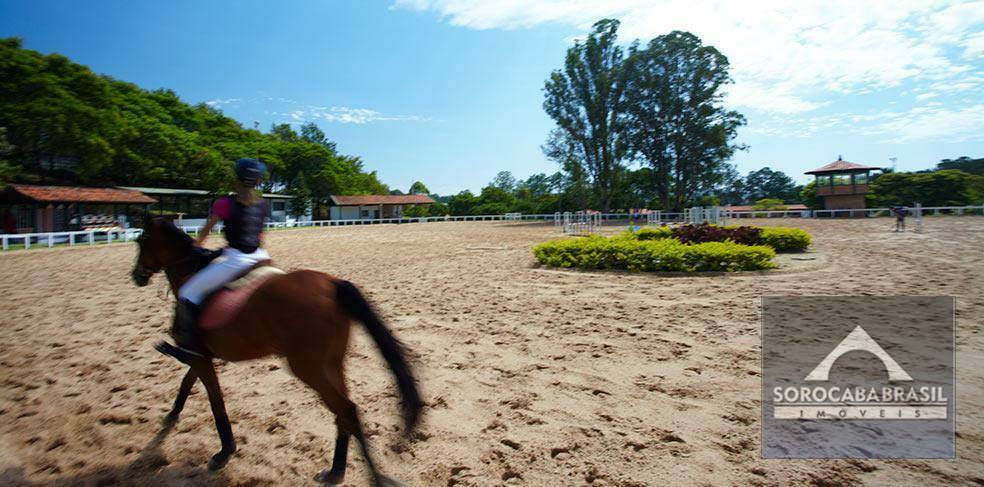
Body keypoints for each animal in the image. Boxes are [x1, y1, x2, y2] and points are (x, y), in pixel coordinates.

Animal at [129, 219, 420, 486]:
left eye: (141, 241)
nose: (137, 276)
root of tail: (333, 284)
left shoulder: (201, 357)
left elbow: (215, 401)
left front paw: (224, 452)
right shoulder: (202, 356)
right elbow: (186, 383)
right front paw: (172, 416)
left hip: (307, 367)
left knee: (346, 410)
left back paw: (370, 477)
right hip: (331, 363)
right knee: (345, 411)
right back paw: (336, 471)